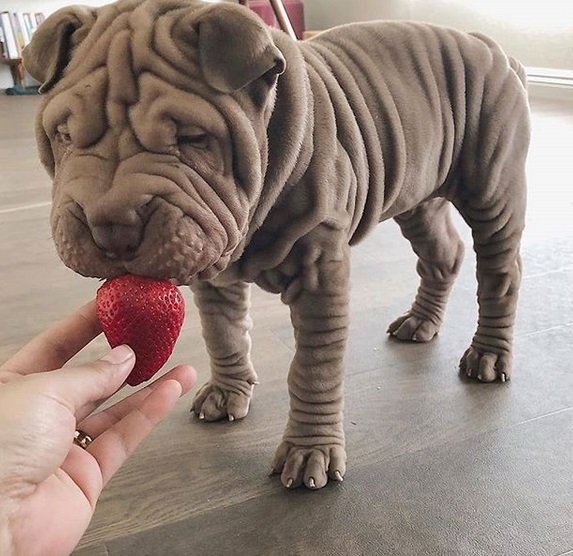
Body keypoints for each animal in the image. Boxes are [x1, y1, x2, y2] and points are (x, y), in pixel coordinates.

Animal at [23, 0, 532, 488]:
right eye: (63, 135)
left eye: (192, 138)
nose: (111, 223)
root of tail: (492, 47)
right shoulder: (213, 269)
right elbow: (223, 332)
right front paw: (228, 391)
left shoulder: (320, 276)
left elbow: (314, 366)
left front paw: (310, 452)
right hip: (418, 193)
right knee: (443, 255)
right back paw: (420, 321)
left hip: (492, 188)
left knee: (499, 273)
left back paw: (488, 353)